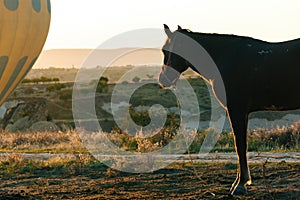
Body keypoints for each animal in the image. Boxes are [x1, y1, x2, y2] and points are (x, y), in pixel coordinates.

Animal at [158, 24, 300, 195]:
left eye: (165, 50)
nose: (163, 80)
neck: (226, 58)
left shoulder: (236, 109)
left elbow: (240, 145)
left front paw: (240, 185)